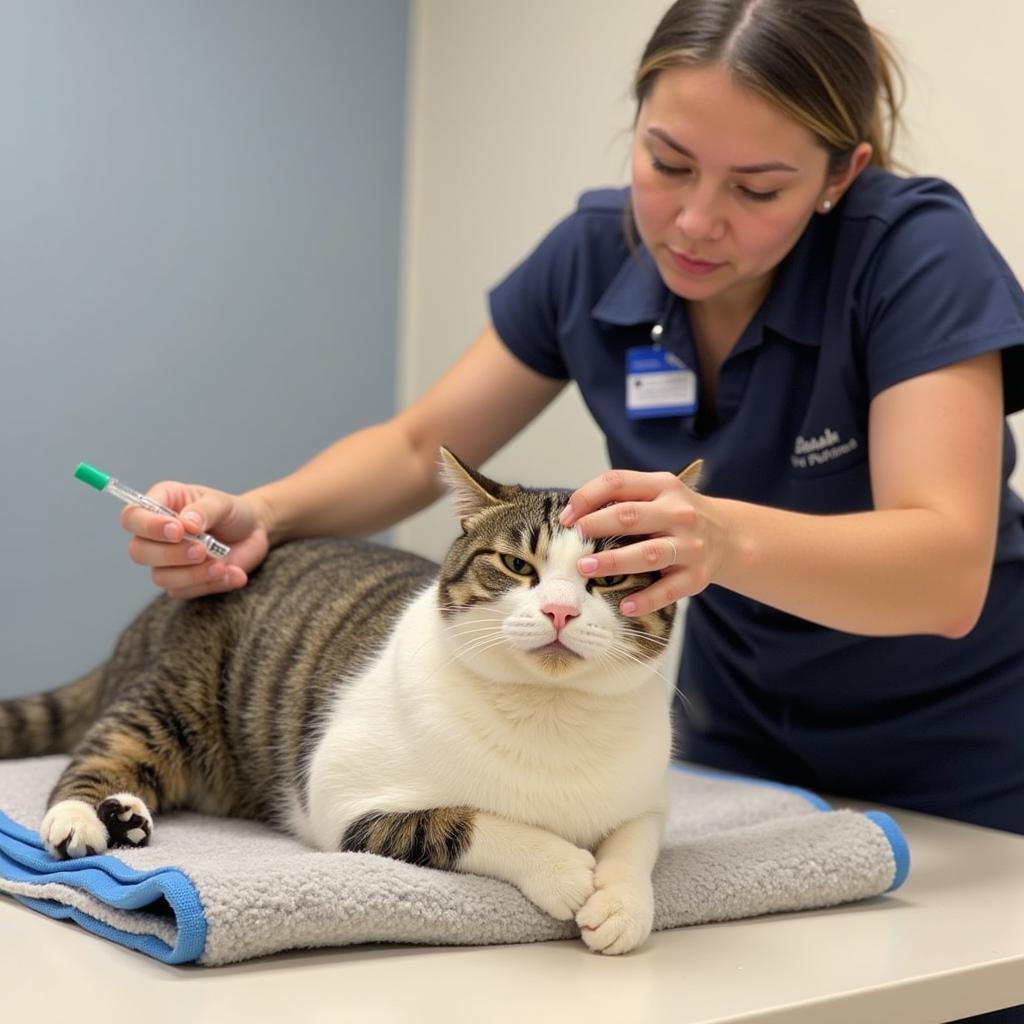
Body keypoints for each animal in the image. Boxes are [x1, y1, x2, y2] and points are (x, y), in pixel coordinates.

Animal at [0, 452, 700, 954]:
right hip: (174, 702)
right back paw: (83, 819)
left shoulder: (647, 797)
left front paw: (621, 904)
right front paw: (563, 869)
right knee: (101, 751)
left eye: (611, 578)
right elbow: (470, 822)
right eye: (516, 566)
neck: (549, 712)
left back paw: (127, 816)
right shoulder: (345, 799)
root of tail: (153, 611)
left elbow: (636, 841)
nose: (559, 610)